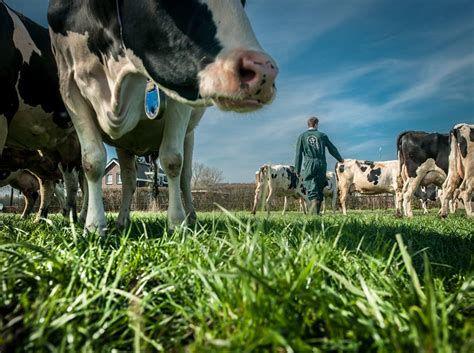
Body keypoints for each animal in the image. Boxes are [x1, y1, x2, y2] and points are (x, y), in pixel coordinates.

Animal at [48, 0, 278, 234]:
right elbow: (92, 162)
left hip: (189, 135)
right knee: (129, 179)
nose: (265, 71)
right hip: (124, 144)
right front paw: (95, 226)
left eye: (243, 2)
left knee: (185, 178)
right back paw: (122, 221)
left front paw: (176, 223)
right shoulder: (69, 87)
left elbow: (172, 161)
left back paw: (191, 217)